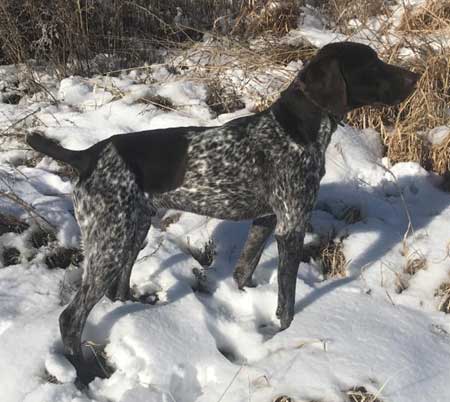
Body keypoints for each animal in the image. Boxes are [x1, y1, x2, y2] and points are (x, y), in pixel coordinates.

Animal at [26, 41, 418, 384]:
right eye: (372, 65)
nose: (415, 76)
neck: (295, 129)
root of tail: (86, 155)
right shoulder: (291, 224)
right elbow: (287, 300)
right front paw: (286, 332)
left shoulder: (267, 220)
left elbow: (244, 269)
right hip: (110, 240)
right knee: (71, 318)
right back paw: (84, 372)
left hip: (131, 231)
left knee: (115, 289)